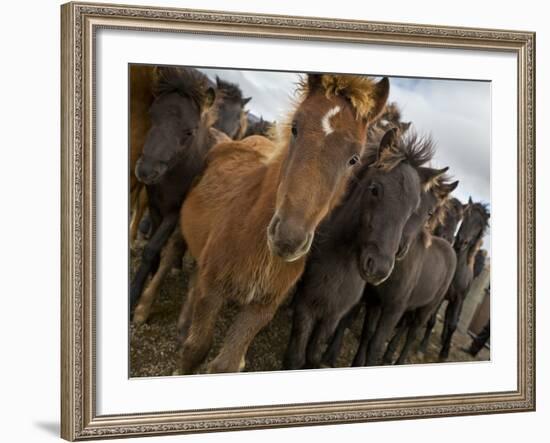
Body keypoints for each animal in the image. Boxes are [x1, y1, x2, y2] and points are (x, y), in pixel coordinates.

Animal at [179, 73, 390, 374]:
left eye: (354, 158)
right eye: (295, 128)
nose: (288, 239)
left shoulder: (262, 307)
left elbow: (226, 364)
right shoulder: (213, 289)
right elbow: (196, 348)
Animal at [286, 129, 446, 372]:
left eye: (414, 209)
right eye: (375, 189)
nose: (379, 268)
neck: (338, 265)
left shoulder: (337, 313)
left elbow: (314, 355)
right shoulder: (306, 305)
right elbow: (297, 357)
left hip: (425, 310)